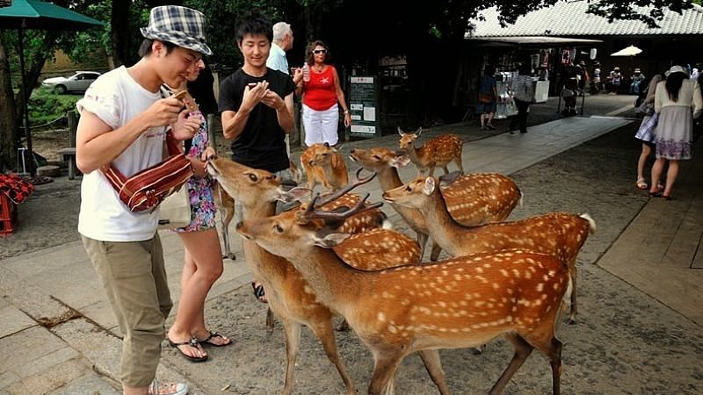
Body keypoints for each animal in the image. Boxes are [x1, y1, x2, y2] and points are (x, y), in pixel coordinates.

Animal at [206, 159, 420, 395]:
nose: (212, 159)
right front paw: (285, 389)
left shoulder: (318, 316)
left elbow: (332, 355)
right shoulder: (290, 320)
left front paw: (351, 388)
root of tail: (413, 243)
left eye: (253, 175)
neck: (280, 282)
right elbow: (290, 355)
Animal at [236, 196, 572, 395]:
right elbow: (438, 378)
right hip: (513, 326)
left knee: (557, 349)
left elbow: (375, 390)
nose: (242, 224)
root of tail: (562, 269)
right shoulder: (421, 343)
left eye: (279, 226)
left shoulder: (389, 345)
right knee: (524, 350)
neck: (356, 294)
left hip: (539, 320)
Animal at [350, 147, 524, 262]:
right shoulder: (420, 231)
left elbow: (433, 259)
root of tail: (518, 191)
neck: (412, 214)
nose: (353, 151)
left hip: (499, 213)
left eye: (376, 156)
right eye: (371, 148)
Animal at [382, 176, 596, 324]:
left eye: (409, 187)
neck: (461, 242)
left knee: (574, 274)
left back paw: (572, 316)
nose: (386, 194)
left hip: (571, 253)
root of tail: (586, 222)